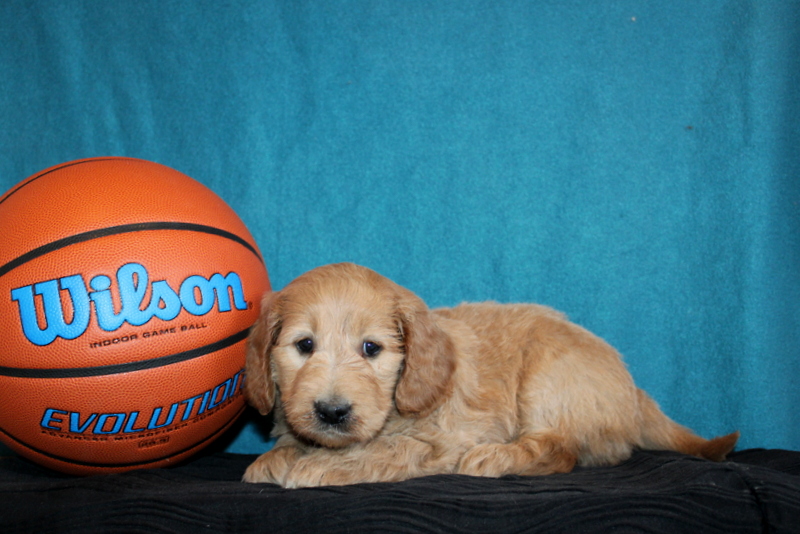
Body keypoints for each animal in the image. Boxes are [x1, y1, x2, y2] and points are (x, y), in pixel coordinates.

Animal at [242, 264, 736, 490]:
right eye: (305, 345)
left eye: (371, 349)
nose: (331, 411)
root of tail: (633, 389)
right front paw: (278, 457)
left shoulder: (441, 440)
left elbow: (385, 448)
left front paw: (320, 465)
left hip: (549, 377)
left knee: (561, 450)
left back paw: (497, 458)